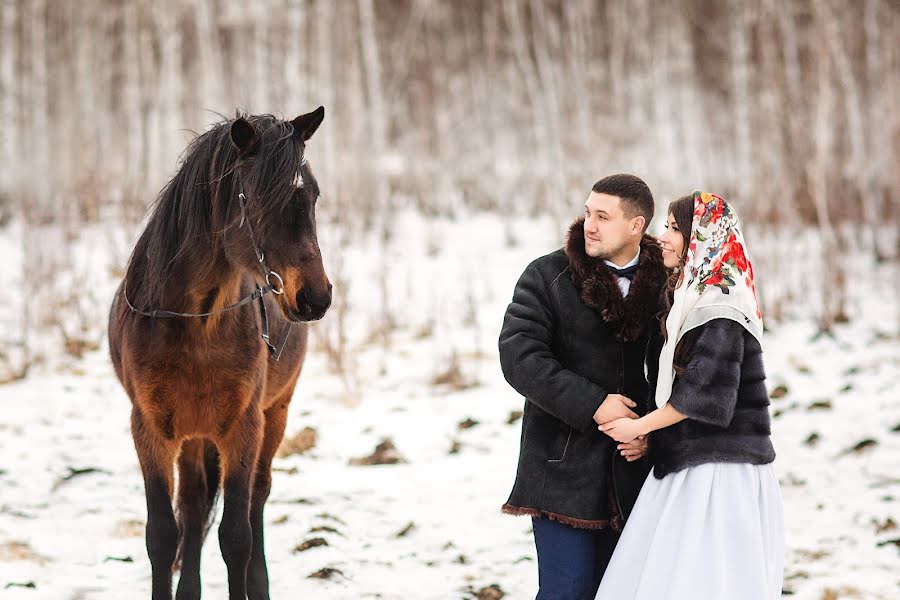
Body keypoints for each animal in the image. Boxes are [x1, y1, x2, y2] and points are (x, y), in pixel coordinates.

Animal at [108, 109, 332, 600]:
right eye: (256, 199)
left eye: (312, 194)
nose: (316, 297)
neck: (196, 326)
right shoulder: (150, 429)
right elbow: (163, 535)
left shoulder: (244, 427)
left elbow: (236, 535)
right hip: (193, 434)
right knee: (193, 506)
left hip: (275, 414)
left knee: (257, 499)